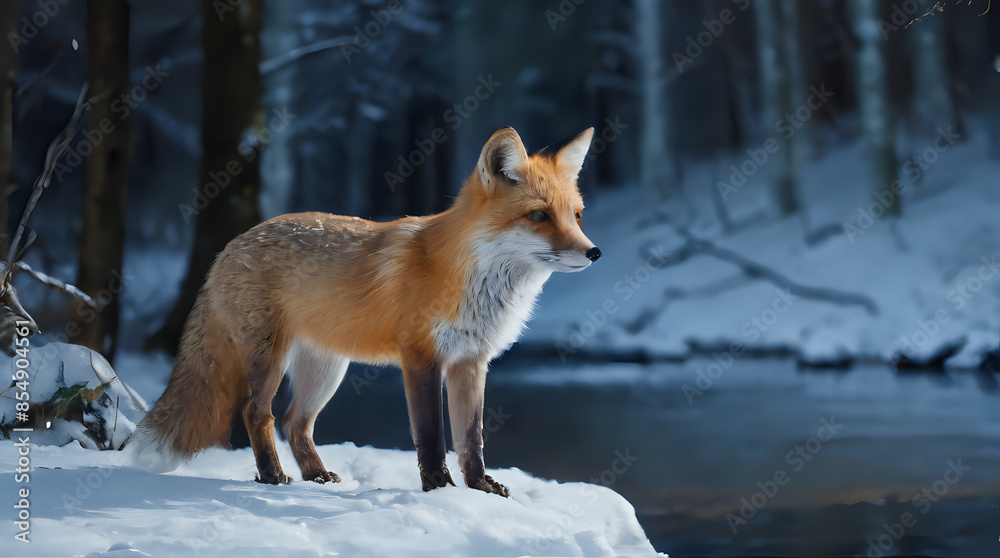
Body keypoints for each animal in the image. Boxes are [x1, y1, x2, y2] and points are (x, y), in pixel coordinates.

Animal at [131, 126, 601, 497]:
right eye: (538, 216)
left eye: (577, 215)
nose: (594, 252)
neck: (467, 279)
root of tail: (230, 245)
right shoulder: (421, 359)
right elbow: (431, 436)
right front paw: (438, 488)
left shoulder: (470, 361)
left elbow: (472, 438)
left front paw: (479, 487)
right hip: (272, 360)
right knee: (257, 414)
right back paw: (272, 476)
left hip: (326, 370)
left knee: (295, 422)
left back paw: (316, 475)